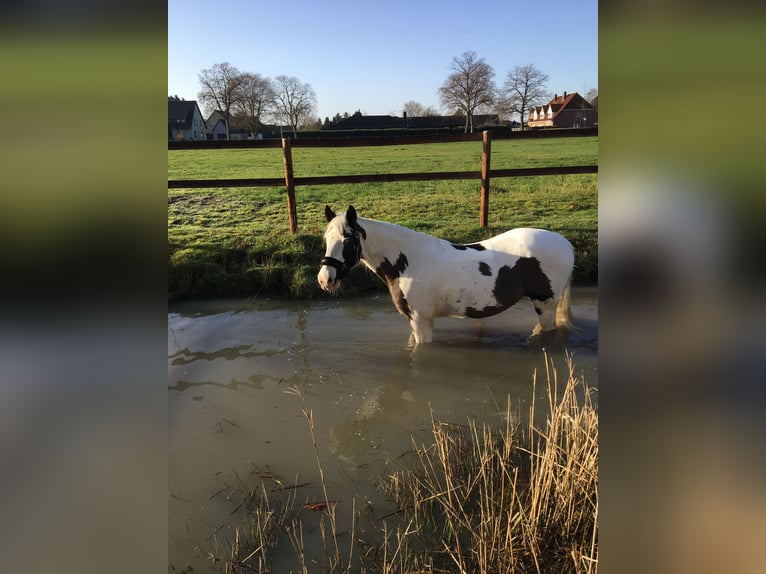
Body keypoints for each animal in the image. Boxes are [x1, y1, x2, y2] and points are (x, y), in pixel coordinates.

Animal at [318, 206, 576, 344]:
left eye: (347, 240)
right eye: (326, 239)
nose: (325, 279)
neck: (408, 262)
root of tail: (565, 243)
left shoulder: (421, 320)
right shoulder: (414, 321)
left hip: (545, 304)